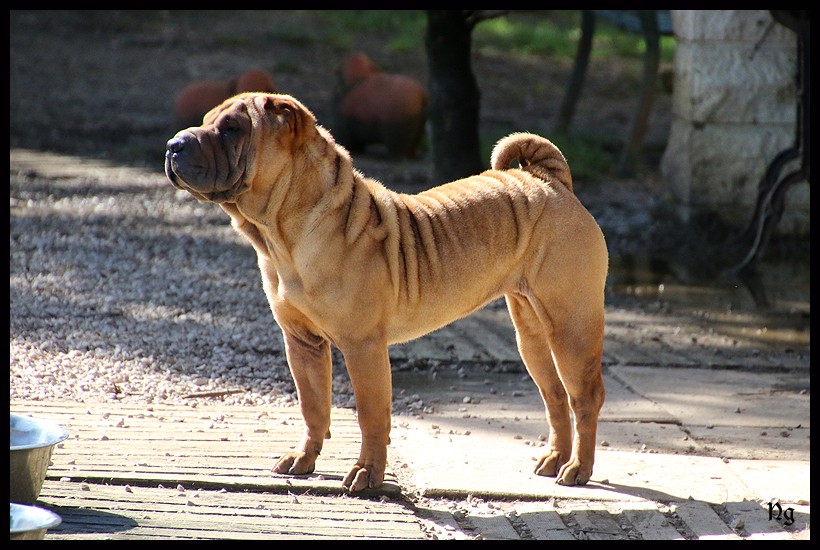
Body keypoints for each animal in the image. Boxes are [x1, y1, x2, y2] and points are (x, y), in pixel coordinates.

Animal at [163, 92, 604, 494]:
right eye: (206, 120)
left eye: (232, 128)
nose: (173, 144)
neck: (282, 234)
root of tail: (551, 181)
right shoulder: (302, 342)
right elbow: (313, 407)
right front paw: (303, 460)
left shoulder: (363, 347)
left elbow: (371, 416)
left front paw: (366, 474)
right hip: (531, 334)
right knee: (555, 396)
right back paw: (554, 460)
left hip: (570, 328)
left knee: (584, 397)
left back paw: (577, 469)